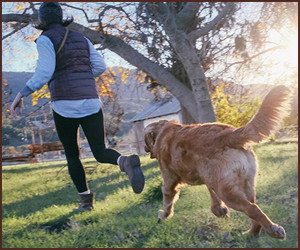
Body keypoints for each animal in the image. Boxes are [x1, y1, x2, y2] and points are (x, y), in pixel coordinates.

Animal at [144, 86, 292, 240]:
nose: (144, 149)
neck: (163, 131)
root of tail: (228, 135)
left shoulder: (169, 181)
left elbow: (167, 201)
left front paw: (164, 215)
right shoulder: (208, 177)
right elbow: (211, 192)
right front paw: (219, 209)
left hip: (228, 193)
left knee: (252, 208)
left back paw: (273, 230)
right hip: (245, 185)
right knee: (254, 212)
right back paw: (252, 233)